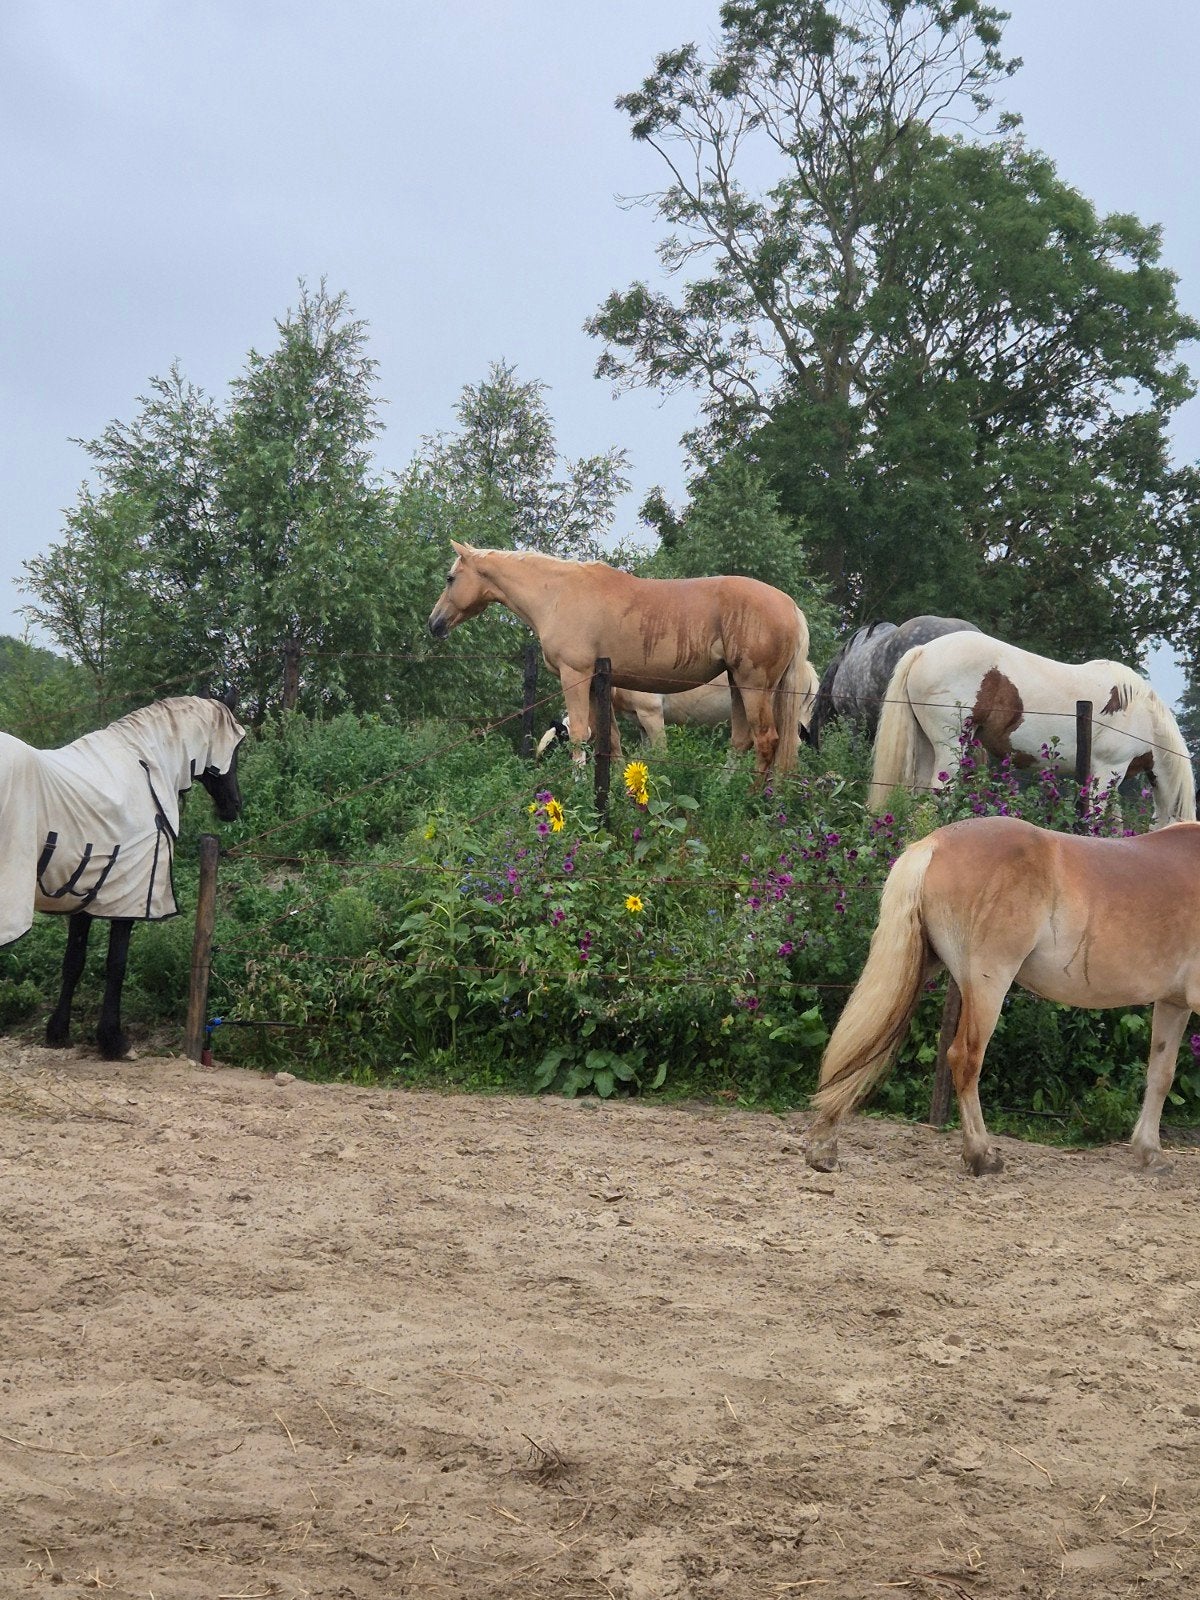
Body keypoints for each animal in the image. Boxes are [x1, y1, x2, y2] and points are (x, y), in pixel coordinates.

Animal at [0, 696, 246, 1059]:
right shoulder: (128, 897)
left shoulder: (86, 894)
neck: (143, 771)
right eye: (236, 752)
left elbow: (73, 961)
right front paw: (113, 1040)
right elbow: (116, 965)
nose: (234, 806)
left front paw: (58, 1033)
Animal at [806, 814, 1200, 1177]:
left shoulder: (1173, 1004)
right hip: (988, 984)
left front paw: (1151, 1154)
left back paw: (824, 1148)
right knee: (964, 1058)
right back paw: (982, 1155)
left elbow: (1161, 1075)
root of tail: (934, 843)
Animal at [868, 630, 1195, 829]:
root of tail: (923, 651)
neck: (1143, 714)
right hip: (950, 747)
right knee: (940, 794)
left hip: (927, 745)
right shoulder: (1106, 770)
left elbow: (1113, 824)